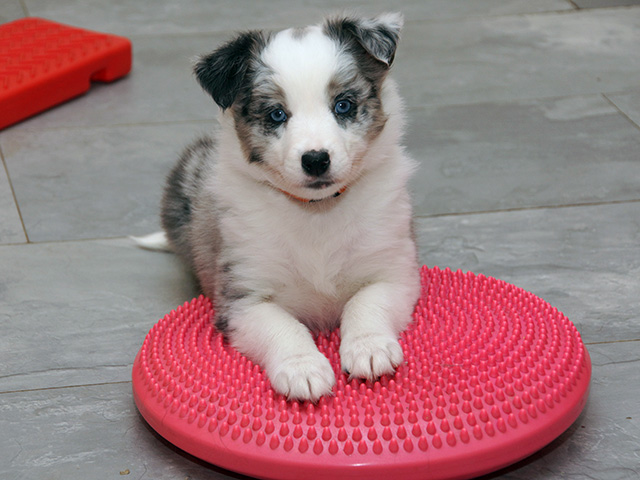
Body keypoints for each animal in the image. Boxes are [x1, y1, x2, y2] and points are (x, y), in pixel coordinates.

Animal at [138, 12, 420, 401]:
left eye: (343, 105)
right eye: (276, 114)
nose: (316, 160)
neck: (316, 211)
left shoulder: (395, 271)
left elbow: (365, 303)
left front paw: (369, 348)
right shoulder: (243, 298)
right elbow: (284, 327)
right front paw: (303, 370)